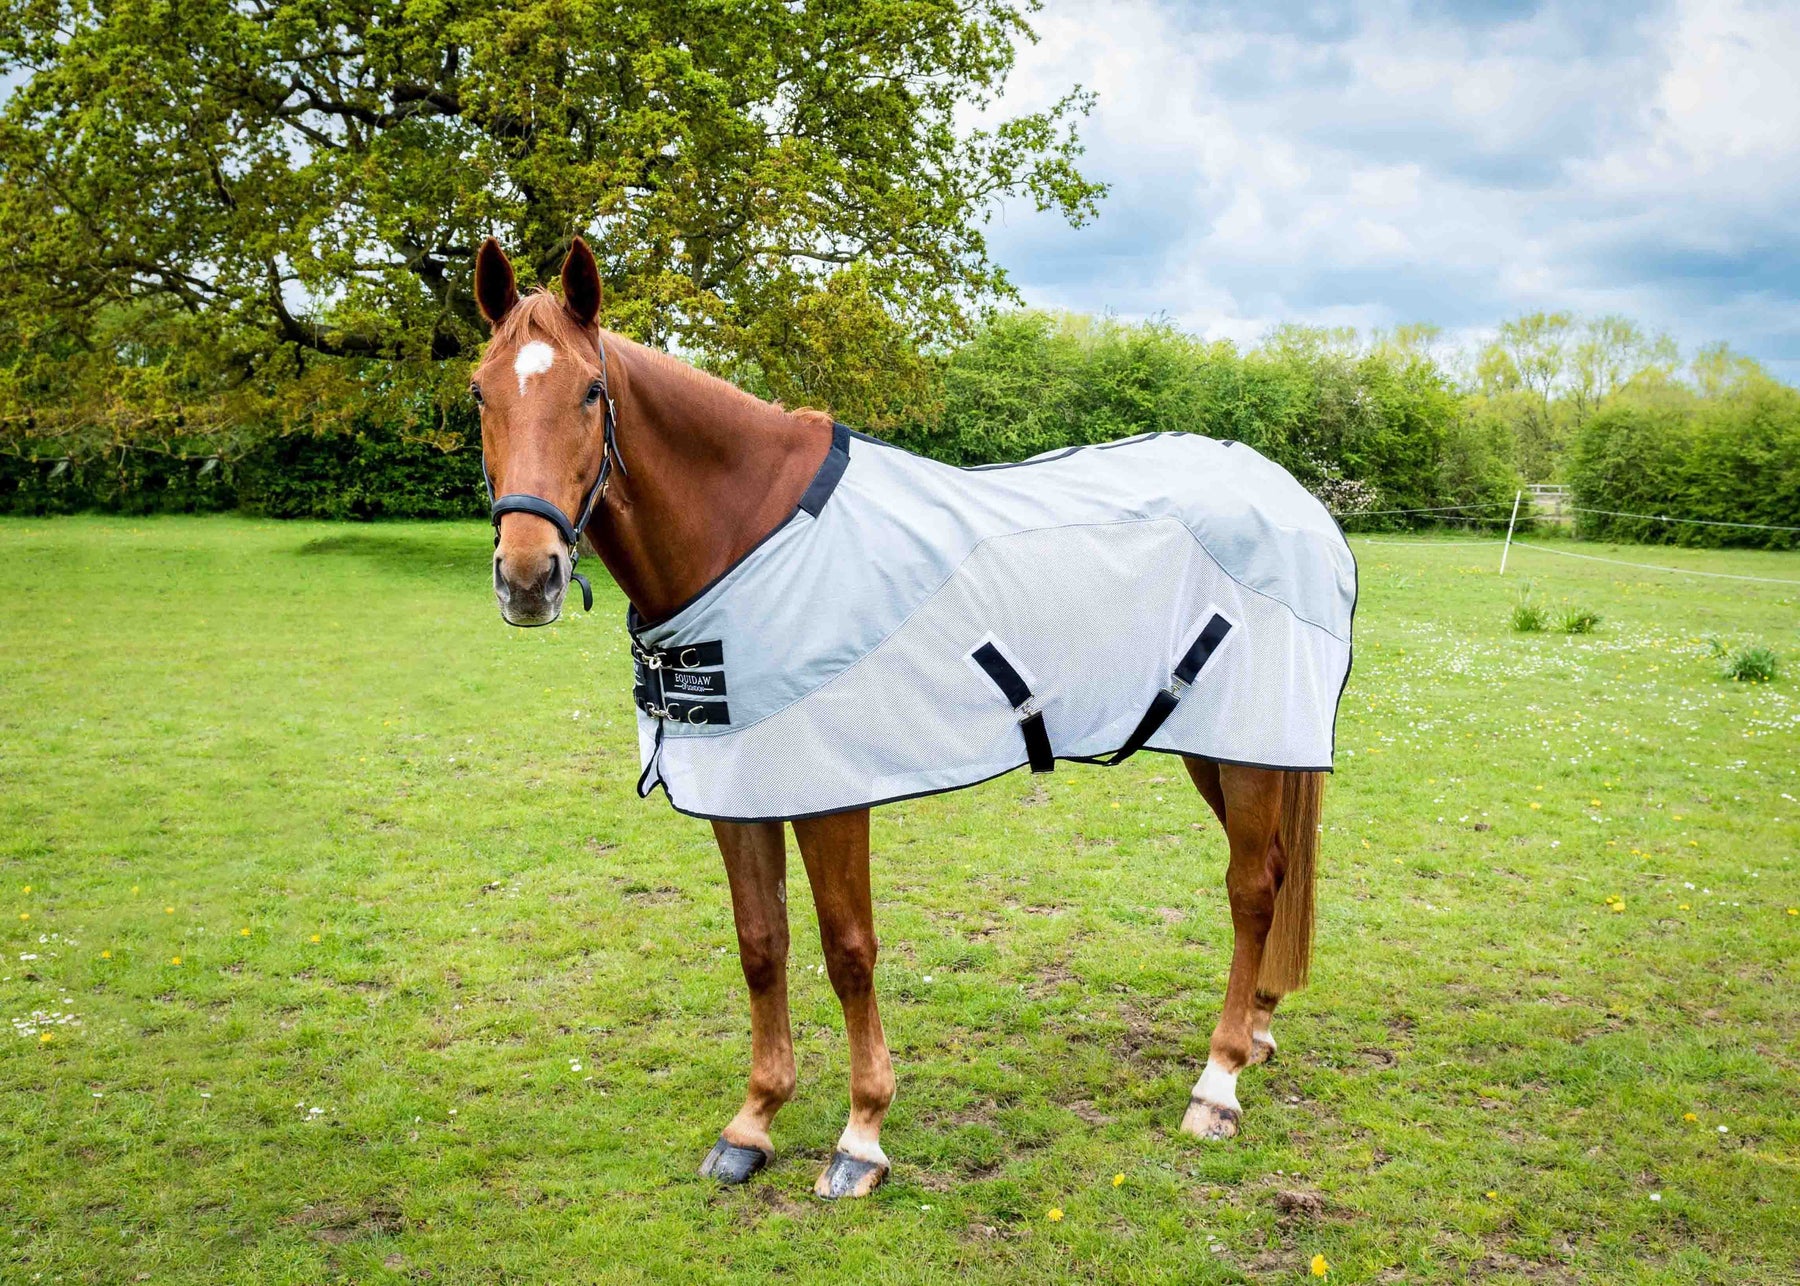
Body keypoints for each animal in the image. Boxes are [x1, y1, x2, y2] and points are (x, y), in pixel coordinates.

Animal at [469, 236, 1348, 1199]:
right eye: (478, 390)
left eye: (591, 391)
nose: (528, 577)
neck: (746, 536)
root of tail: (1295, 499)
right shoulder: (740, 787)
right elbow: (761, 944)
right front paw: (753, 1122)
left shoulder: (829, 794)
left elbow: (848, 950)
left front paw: (861, 1136)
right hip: (1218, 745)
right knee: (1270, 871)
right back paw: (1257, 1031)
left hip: (1252, 746)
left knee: (1251, 888)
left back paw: (1218, 1082)